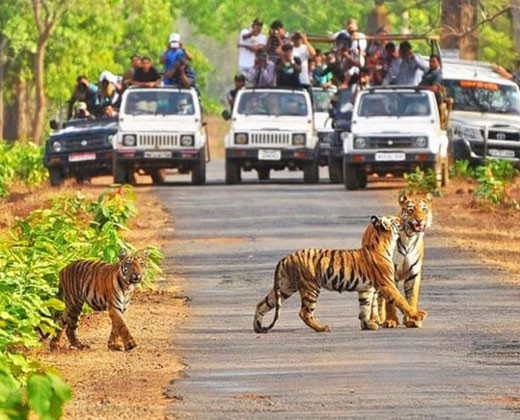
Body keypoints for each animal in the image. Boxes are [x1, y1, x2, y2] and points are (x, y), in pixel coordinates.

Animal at [252, 215, 426, 334]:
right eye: (396, 220)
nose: (405, 219)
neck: (385, 242)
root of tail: (286, 257)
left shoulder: (366, 289)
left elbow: (365, 307)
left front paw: (368, 325)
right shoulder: (387, 284)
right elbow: (401, 301)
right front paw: (417, 315)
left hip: (284, 287)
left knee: (262, 304)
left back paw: (258, 327)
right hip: (310, 287)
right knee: (304, 312)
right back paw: (322, 328)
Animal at [362, 194, 430, 328]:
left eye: (424, 209)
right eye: (410, 210)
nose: (419, 220)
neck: (410, 237)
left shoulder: (413, 274)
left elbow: (411, 297)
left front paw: (412, 320)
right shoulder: (390, 274)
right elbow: (391, 301)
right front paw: (391, 320)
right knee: (375, 298)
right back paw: (375, 320)